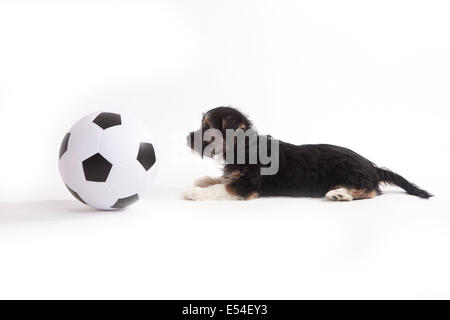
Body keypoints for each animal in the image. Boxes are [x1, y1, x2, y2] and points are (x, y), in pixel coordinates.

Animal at [184, 106, 432, 201]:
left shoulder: (246, 185)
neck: (244, 147)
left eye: (207, 128)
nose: (187, 138)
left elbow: (221, 188)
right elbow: (220, 179)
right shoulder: (236, 177)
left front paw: (194, 192)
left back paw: (339, 194)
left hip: (347, 172)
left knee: (371, 190)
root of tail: (372, 166)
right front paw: (203, 180)